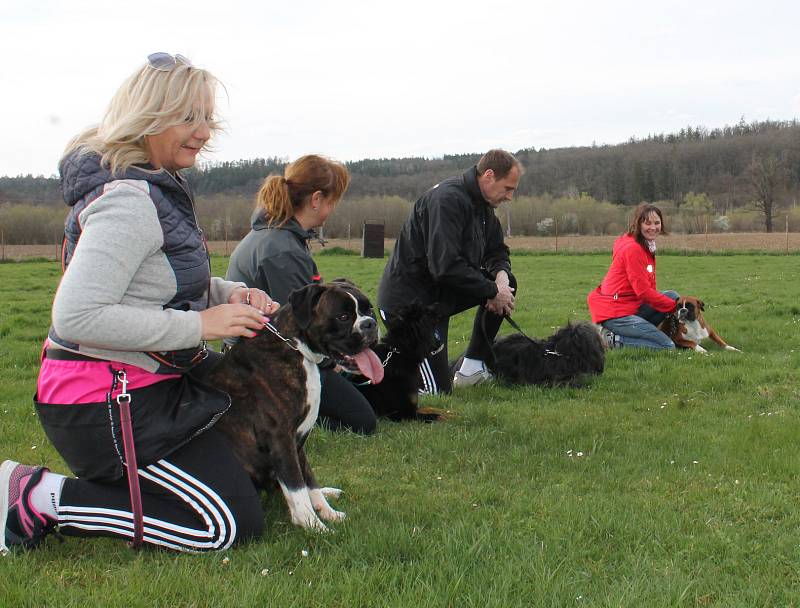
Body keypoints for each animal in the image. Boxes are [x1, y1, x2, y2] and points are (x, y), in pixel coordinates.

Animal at [209, 282, 384, 532]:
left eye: (369, 310)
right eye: (343, 317)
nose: (370, 324)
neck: (295, 348)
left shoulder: (298, 441)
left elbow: (308, 480)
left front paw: (327, 513)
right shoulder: (281, 439)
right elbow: (297, 486)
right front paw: (314, 526)